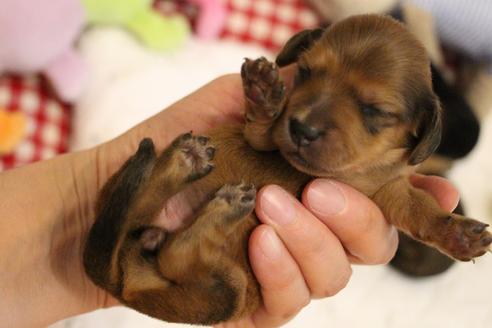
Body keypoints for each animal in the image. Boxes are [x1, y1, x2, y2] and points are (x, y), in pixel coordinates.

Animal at [82, 14, 490, 326]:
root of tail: (125, 285)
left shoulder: (388, 194)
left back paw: (205, 188)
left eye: (375, 110)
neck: (347, 172)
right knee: (162, 238)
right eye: (306, 71)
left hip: (225, 288)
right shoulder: (265, 138)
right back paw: (186, 167)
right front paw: (264, 92)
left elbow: (420, 210)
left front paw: (458, 235)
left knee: (175, 255)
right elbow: (264, 126)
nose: (302, 129)